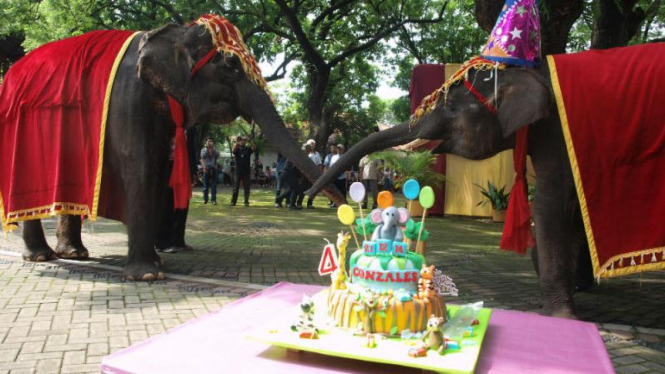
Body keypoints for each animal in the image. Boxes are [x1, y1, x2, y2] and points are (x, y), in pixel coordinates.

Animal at [1, 16, 342, 282]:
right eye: (231, 65)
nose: (339, 204)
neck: (172, 33)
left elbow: (160, 168)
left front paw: (157, 261)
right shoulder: (129, 97)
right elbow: (140, 164)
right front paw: (148, 274)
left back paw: (75, 253)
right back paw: (41, 257)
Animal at [310, 45, 664, 318]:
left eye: (451, 108)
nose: (316, 192)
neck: (526, 70)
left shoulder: (559, 138)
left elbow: (551, 205)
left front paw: (561, 315)